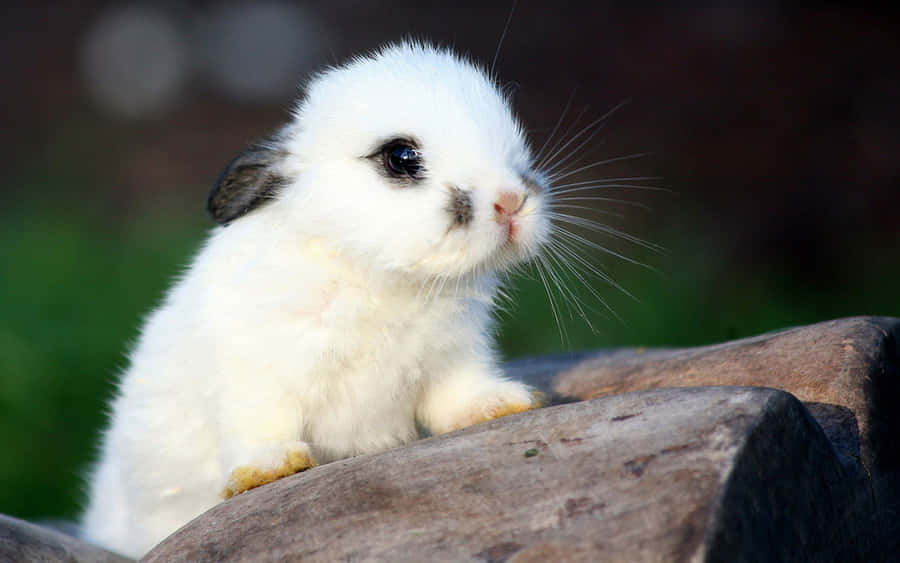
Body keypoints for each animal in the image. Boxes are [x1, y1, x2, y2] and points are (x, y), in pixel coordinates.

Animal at [80, 41, 553, 558]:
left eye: (513, 142)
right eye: (401, 157)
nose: (511, 202)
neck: (377, 276)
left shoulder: (452, 358)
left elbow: (457, 397)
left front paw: (502, 404)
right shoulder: (257, 374)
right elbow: (261, 423)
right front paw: (271, 469)